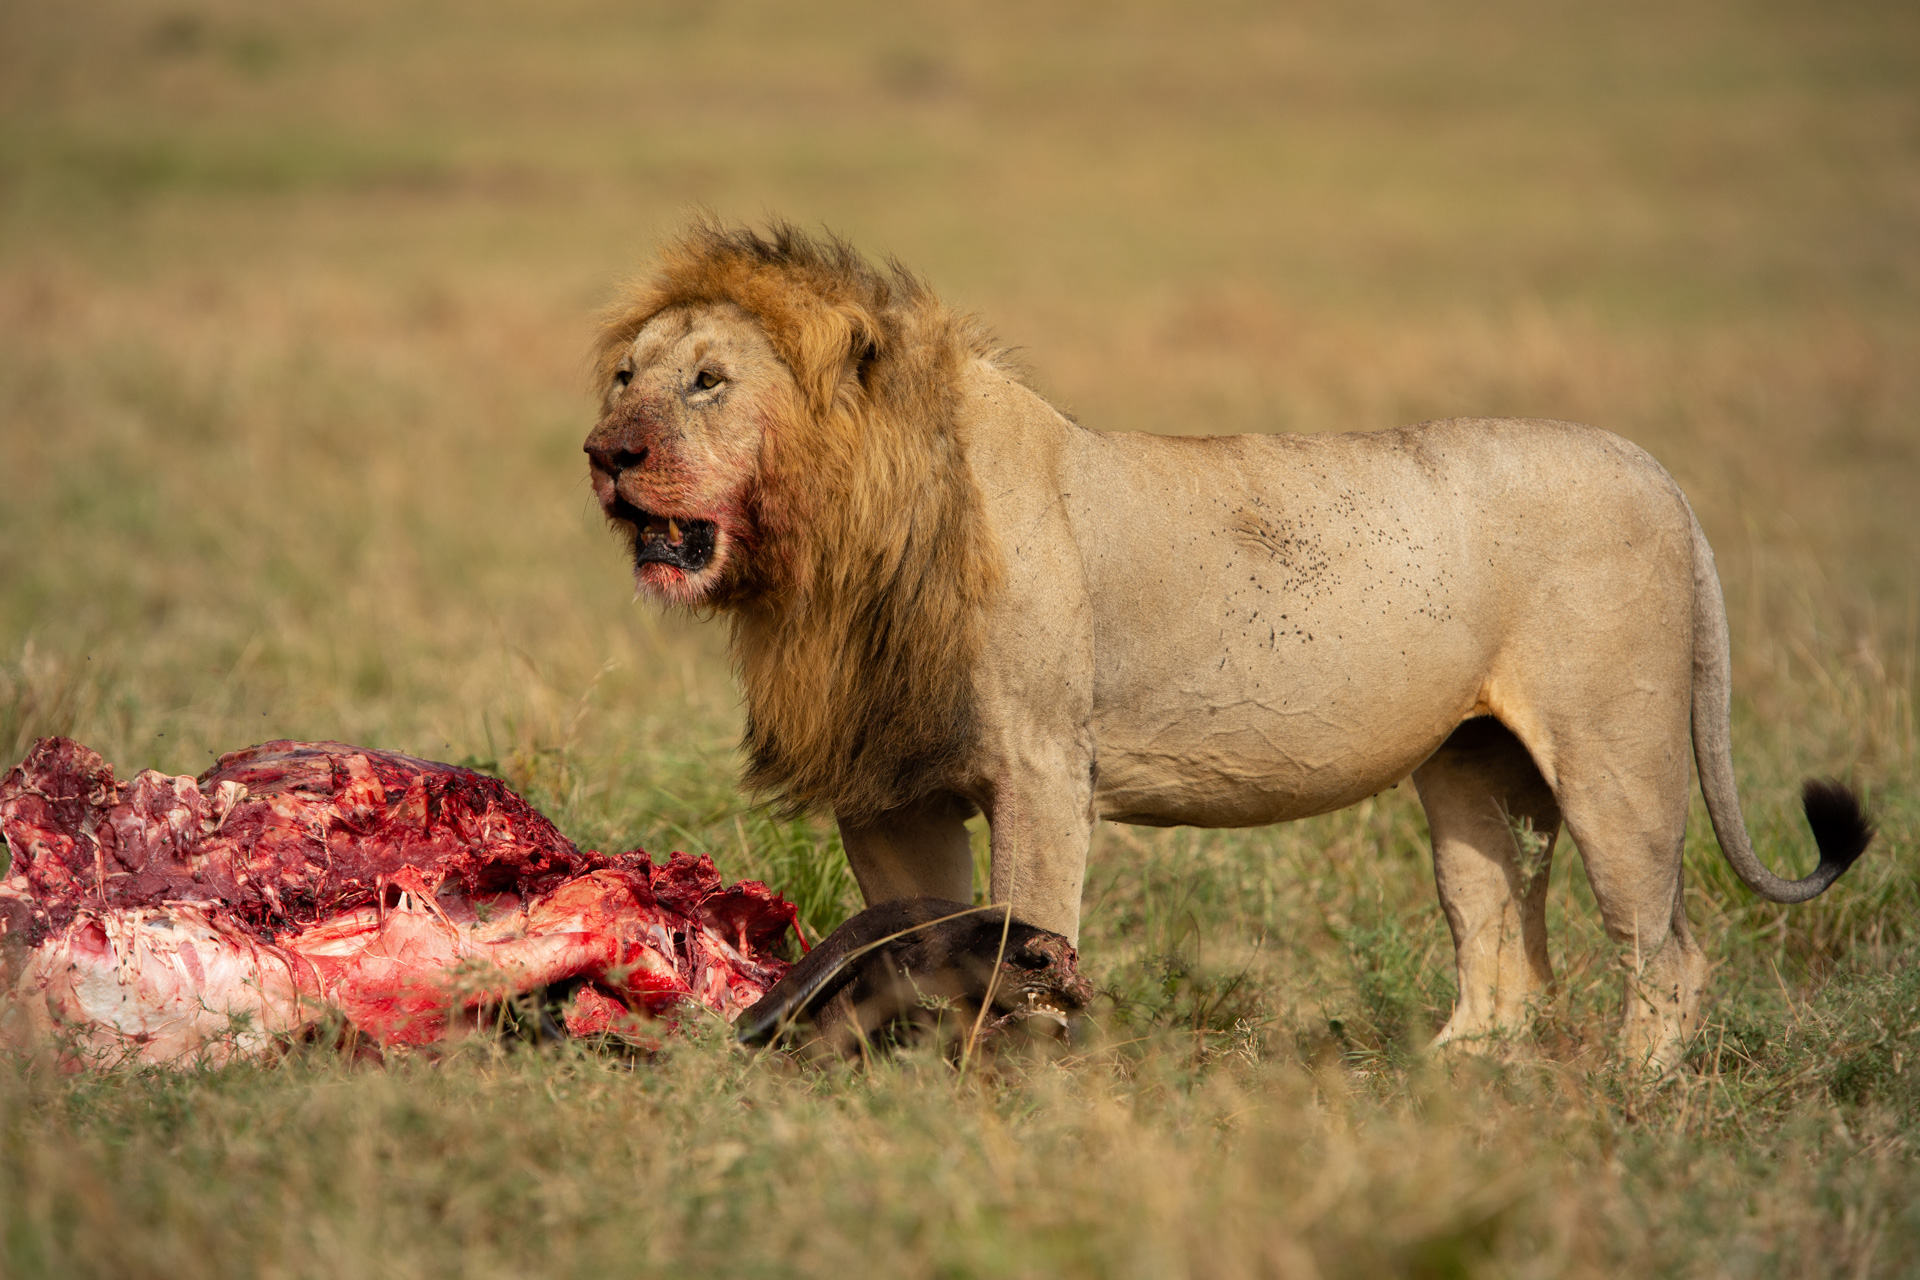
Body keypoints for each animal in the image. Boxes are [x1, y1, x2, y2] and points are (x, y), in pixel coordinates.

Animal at [583, 222, 1873, 1074]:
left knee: (1666, 942)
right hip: (1469, 766)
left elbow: (1026, 916)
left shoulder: (1040, 765)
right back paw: (1459, 1068)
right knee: (1503, 924)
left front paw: (1019, 1062)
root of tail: (1656, 471)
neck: (837, 551)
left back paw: (1635, 1080)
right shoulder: (888, 787)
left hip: (1614, 756)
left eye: (707, 382)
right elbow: (913, 925)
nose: (605, 451)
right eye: (624, 377)